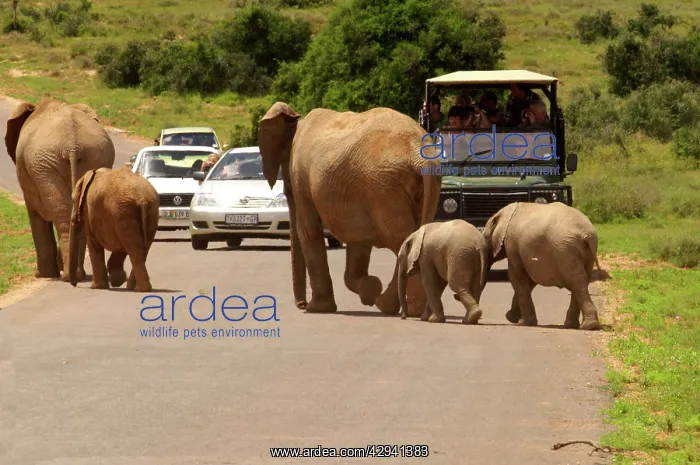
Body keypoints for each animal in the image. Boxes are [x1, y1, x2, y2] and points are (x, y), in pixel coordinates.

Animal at [4, 98, 116, 282]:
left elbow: (35, 213)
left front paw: (42, 275)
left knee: (61, 217)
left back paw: (68, 276)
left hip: (45, 166)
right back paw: (76, 274)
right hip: (93, 159)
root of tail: (72, 145)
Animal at [258, 102, 442, 316]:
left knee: (400, 240)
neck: (297, 120)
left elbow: (309, 231)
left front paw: (317, 309)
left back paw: (407, 310)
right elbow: (358, 240)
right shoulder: (355, 193)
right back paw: (394, 306)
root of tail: (418, 152)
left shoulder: (301, 176)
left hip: (384, 186)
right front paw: (369, 290)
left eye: (287, 189)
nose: (301, 305)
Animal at [482, 201, 611, 330]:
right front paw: (512, 318)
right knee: (581, 281)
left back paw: (588, 326)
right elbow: (529, 280)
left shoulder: (512, 244)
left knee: (577, 281)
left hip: (564, 249)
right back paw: (574, 325)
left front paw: (520, 322)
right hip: (581, 252)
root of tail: (586, 235)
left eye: (485, 238)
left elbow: (517, 277)